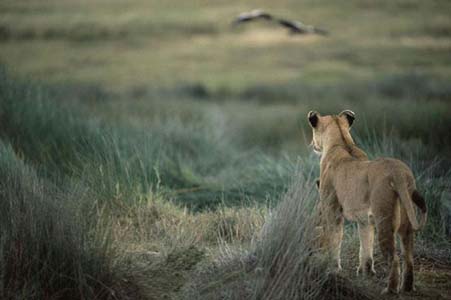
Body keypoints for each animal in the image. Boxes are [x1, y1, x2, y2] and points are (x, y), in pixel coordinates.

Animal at [308, 109, 428, 292]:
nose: (312, 144)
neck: (341, 142)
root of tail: (399, 173)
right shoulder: (365, 219)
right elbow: (365, 245)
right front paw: (366, 272)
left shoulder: (332, 210)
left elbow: (334, 239)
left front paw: (333, 268)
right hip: (406, 220)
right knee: (408, 257)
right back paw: (407, 287)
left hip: (384, 219)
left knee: (394, 259)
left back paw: (390, 290)